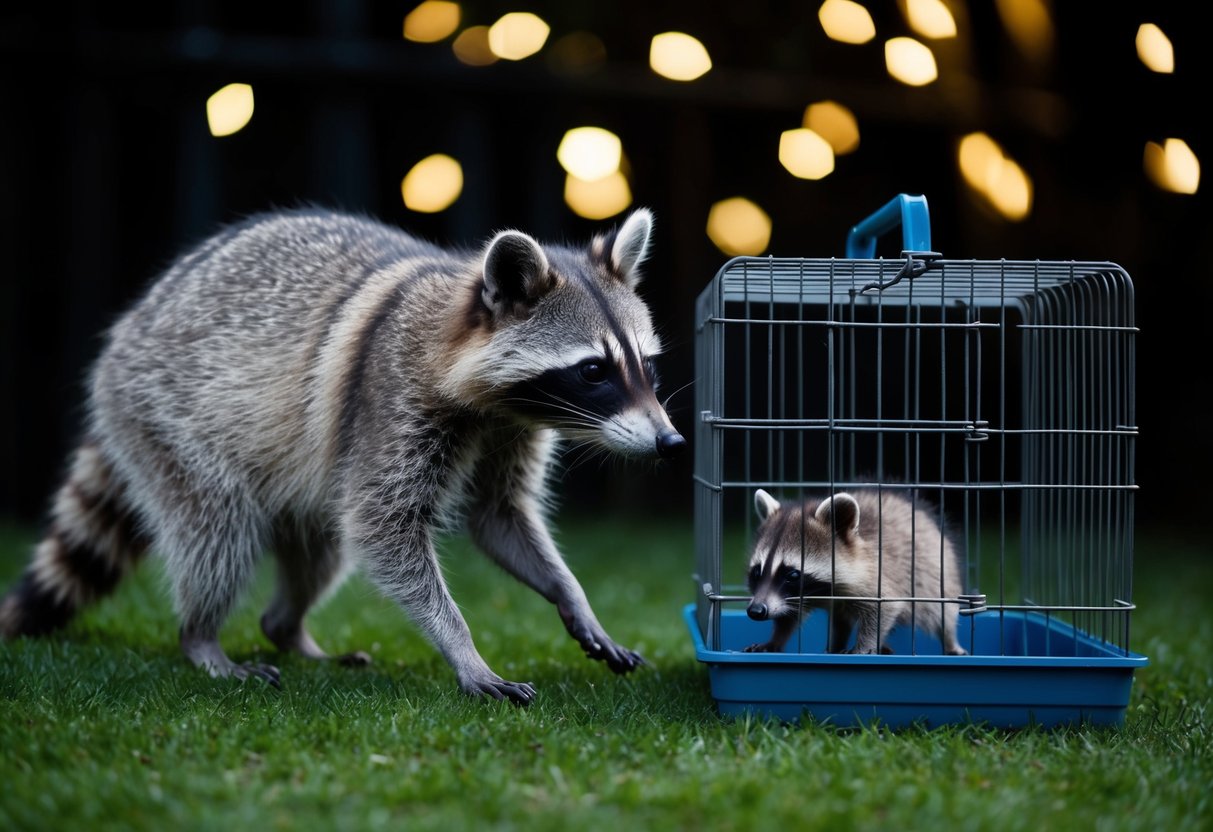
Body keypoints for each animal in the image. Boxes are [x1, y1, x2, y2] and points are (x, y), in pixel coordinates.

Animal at [0, 206, 685, 705]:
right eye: (593, 370)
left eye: (648, 367)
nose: (670, 443)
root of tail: (130, 330)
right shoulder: (390, 395)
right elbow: (382, 528)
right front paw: (462, 647)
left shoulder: (510, 428)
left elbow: (499, 517)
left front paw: (571, 595)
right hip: (165, 416)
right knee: (218, 532)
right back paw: (202, 637)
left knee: (318, 547)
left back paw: (289, 631)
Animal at [744, 488, 967, 656]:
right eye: (757, 572)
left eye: (792, 575)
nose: (756, 610)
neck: (821, 592)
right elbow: (787, 616)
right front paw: (775, 640)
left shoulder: (874, 576)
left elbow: (885, 608)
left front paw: (864, 647)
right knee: (840, 621)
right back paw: (836, 647)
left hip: (939, 575)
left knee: (944, 613)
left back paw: (950, 641)